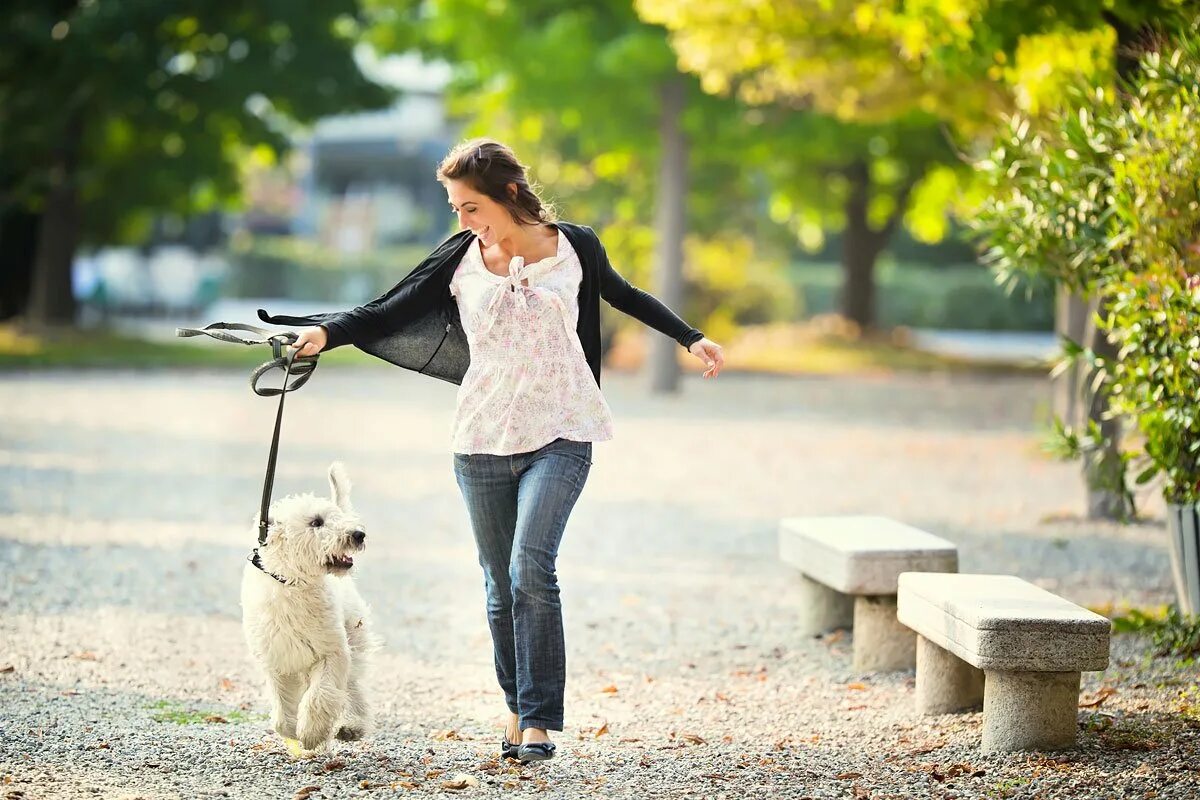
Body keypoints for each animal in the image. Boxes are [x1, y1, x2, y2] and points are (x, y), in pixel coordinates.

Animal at [240, 462, 379, 753]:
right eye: (316, 522)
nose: (358, 534)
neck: (293, 584)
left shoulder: (332, 652)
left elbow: (320, 695)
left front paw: (312, 733)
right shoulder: (276, 660)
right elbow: (281, 714)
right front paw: (293, 731)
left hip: (354, 641)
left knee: (353, 688)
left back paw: (352, 726)